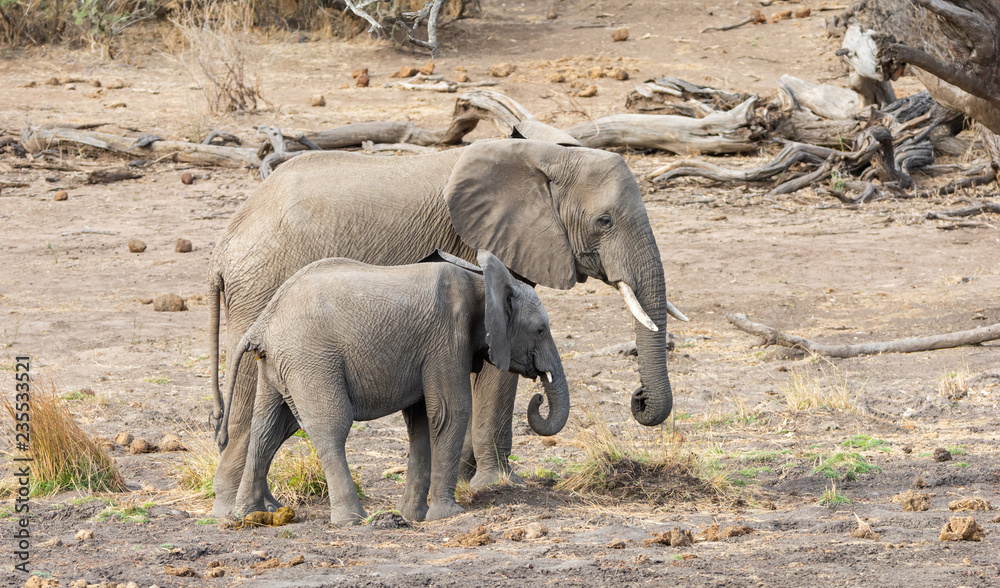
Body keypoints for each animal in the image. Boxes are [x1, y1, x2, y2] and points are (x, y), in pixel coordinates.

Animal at [219, 251, 569, 524]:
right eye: (540, 330)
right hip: (311, 360)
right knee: (330, 427)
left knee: (268, 428)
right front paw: (448, 515)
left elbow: (423, 422)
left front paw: (413, 516)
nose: (538, 397)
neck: (480, 280)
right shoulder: (446, 338)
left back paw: (250, 515)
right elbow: (450, 412)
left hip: (277, 365)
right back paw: (352, 519)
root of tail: (262, 324)